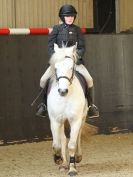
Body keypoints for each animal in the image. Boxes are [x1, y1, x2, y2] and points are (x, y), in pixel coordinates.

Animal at [47, 44, 88, 176]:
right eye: (55, 68)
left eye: (71, 68)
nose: (62, 91)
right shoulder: (55, 120)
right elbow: (57, 144)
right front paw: (58, 159)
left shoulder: (75, 120)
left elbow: (72, 144)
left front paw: (72, 168)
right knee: (63, 139)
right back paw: (64, 164)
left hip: (82, 117)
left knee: (78, 136)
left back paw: (77, 158)